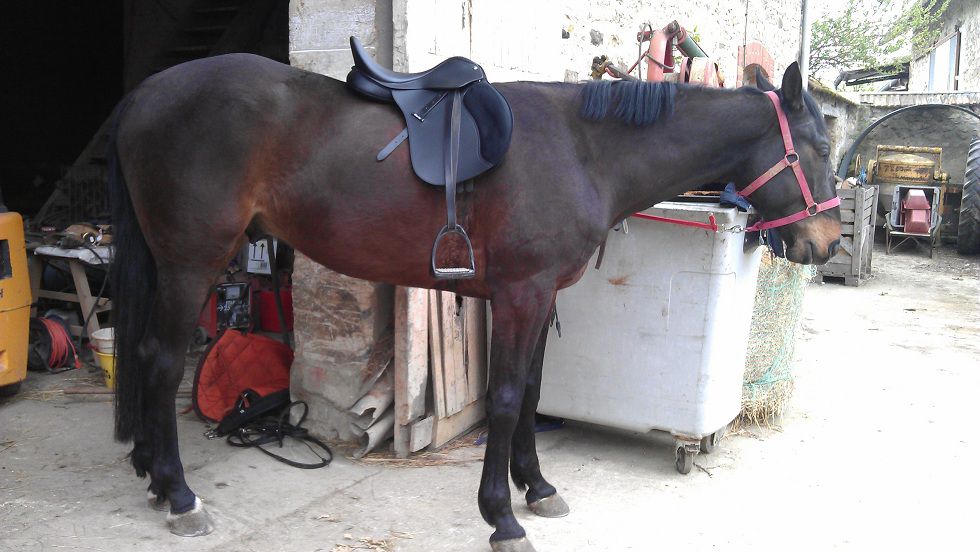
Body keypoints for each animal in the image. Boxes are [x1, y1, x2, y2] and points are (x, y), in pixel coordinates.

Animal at [107, 50, 840, 551]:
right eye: (818, 146)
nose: (827, 241)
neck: (584, 151)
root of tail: (145, 93)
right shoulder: (520, 295)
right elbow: (508, 398)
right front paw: (502, 516)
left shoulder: (542, 296)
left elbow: (534, 392)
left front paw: (537, 488)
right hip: (189, 265)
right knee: (162, 361)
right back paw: (179, 495)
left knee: (145, 356)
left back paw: (151, 472)